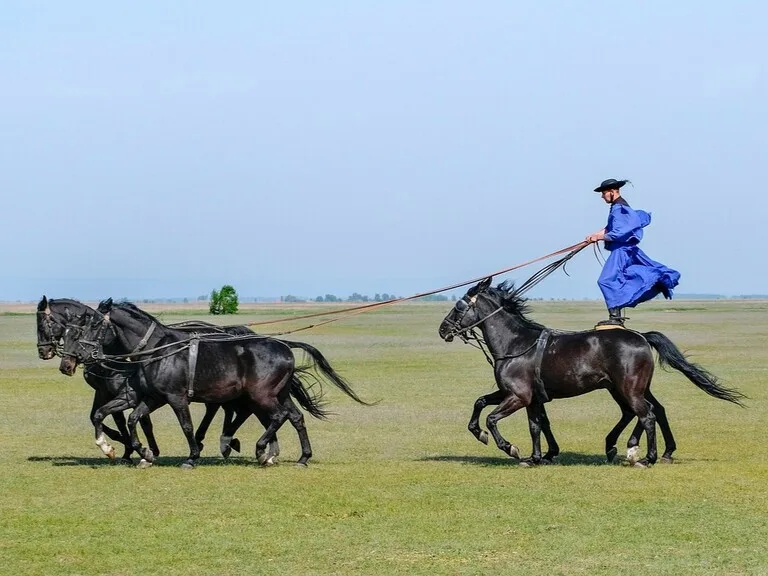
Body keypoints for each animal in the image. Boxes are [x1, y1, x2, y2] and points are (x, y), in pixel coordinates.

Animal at [71, 298, 368, 468]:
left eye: (94, 325)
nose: (82, 355)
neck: (159, 350)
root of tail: (283, 345)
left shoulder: (176, 398)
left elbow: (187, 426)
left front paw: (191, 457)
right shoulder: (151, 397)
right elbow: (127, 418)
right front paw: (138, 452)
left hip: (261, 396)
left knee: (278, 416)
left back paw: (262, 452)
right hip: (278, 394)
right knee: (295, 417)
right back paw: (302, 457)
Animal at [438, 277, 745, 467]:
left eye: (459, 305)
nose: (443, 330)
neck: (517, 344)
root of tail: (640, 336)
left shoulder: (519, 396)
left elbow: (493, 419)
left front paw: (511, 448)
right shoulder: (523, 396)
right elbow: (524, 419)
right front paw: (538, 456)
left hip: (628, 388)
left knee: (645, 414)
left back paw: (644, 456)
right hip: (624, 388)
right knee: (646, 411)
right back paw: (628, 448)